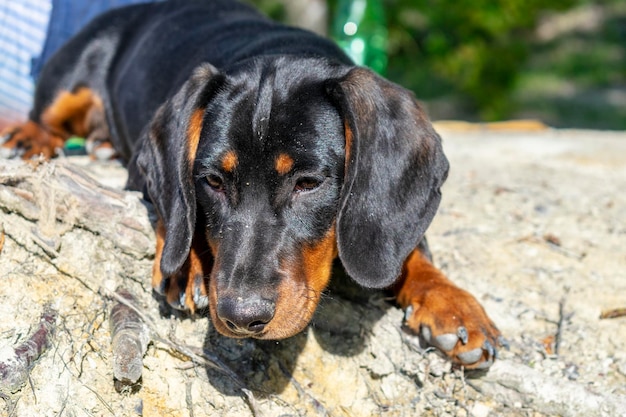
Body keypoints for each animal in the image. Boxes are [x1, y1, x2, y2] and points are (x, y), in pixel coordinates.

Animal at [0, 0, 500, 368]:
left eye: (308, 182)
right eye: (213, 181)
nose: (241, 317)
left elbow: (412, 250)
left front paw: (450, 302)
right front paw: (187, 264)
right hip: (71, 76)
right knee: (45, 116)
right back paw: (30, 137)